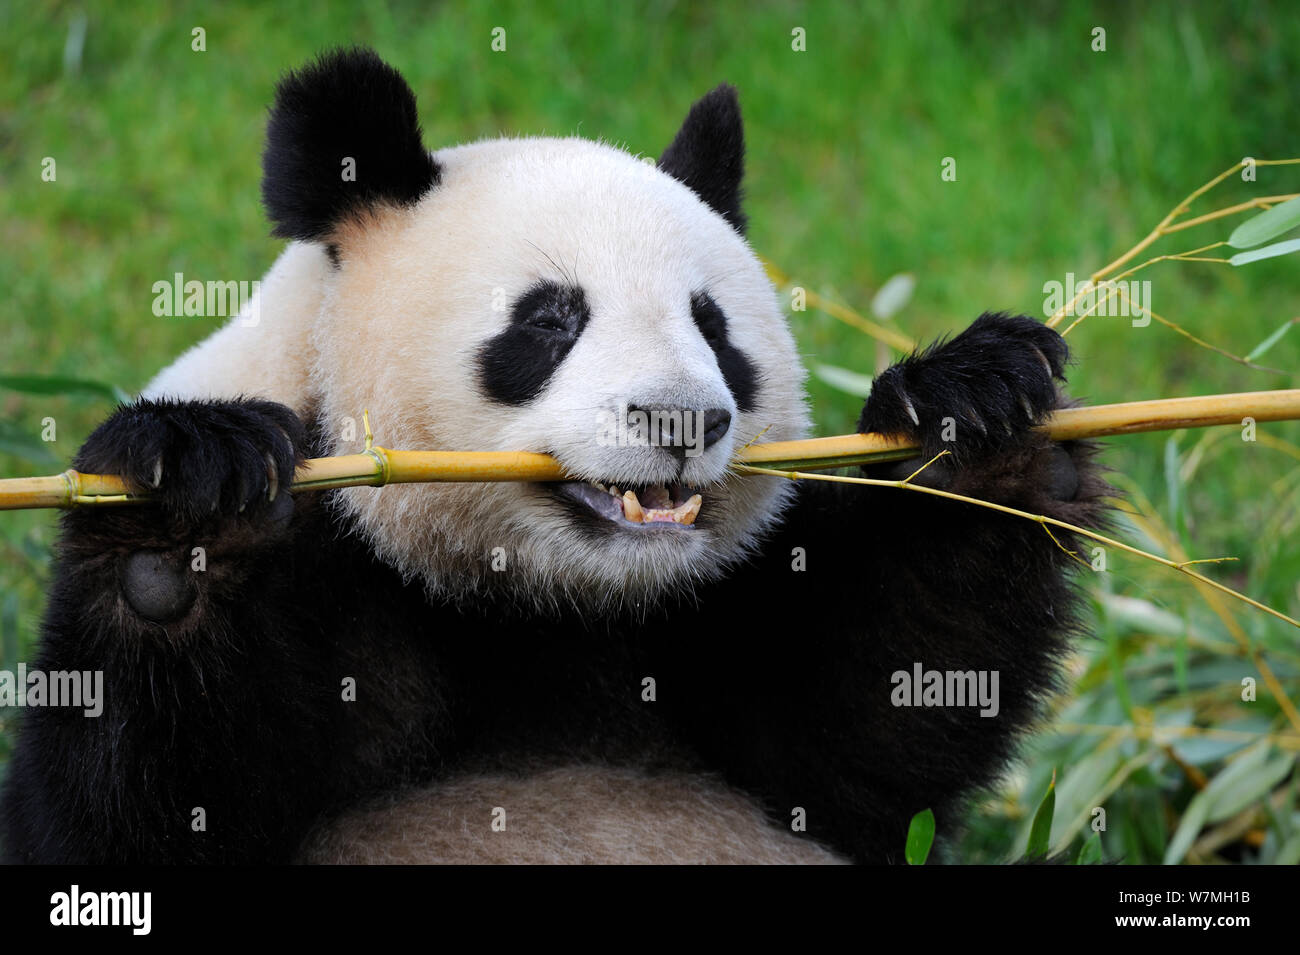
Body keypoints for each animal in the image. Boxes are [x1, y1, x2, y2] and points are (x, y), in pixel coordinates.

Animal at [0, 46, 1107, 867]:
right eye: (549, 320)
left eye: (715, 329)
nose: (679, 421)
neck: (544, 610)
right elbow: (120, 814)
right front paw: (183, 516)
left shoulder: (715, 624)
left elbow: (867, 734)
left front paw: (976, 424)